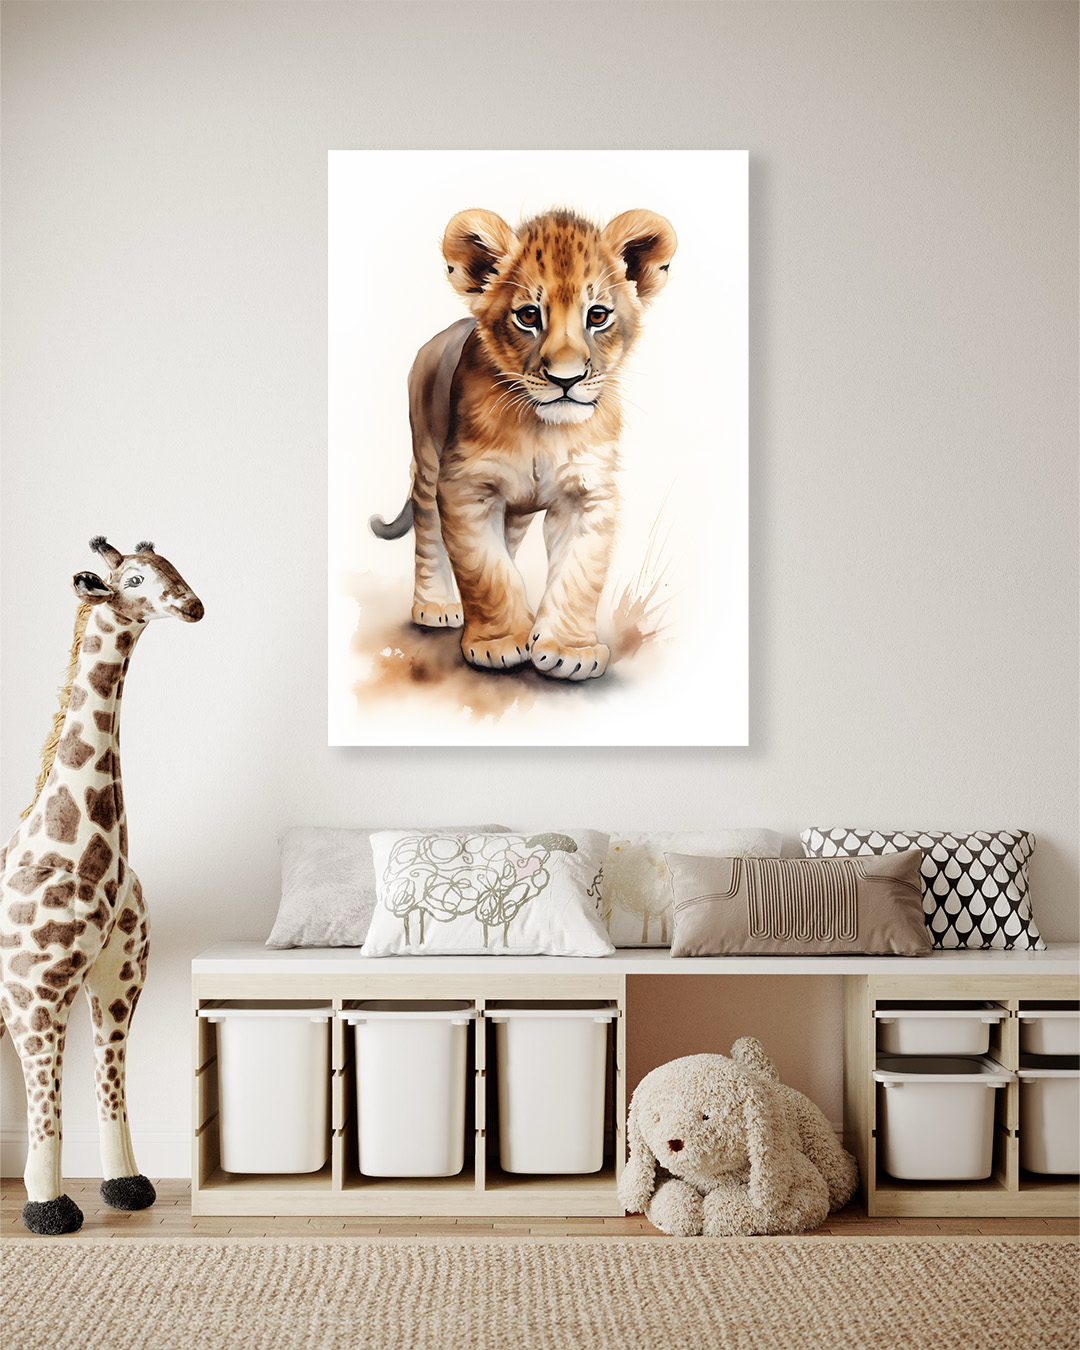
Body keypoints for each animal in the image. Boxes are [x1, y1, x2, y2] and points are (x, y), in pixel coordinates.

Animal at [371, 206, 676, 681]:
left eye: (598, 316)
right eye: (529, 316)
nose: (566, 379)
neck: (542, 428)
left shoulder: (588, 493)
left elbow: (578, 574)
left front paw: (570, 650)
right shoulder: (464, 485)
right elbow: (486, 569)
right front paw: (498, 643)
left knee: (508, 541)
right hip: (426, 459)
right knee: (429, 532)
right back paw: (436, 605)